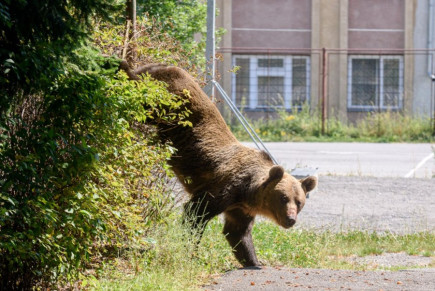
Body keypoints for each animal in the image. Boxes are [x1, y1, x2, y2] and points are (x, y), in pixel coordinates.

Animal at [119, 61, 316, 266]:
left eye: (299, 202)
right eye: (283, 198)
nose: (291, 218)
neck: (248, 191)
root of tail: (164, 65)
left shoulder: (241, 208)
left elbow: (237, 232)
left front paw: (254, 261)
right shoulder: (225, 188)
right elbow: (196, 212)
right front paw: (190, 251)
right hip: (166, 101)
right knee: (144, 98)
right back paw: (120, 65)